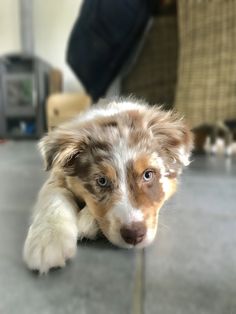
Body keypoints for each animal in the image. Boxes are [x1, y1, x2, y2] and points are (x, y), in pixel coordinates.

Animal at [23, 98, 193, 272]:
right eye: (102, 181)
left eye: (148, 174)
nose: (134, 236)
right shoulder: (57, 175)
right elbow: (52, 198)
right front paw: (48, 241)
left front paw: (86, 221)